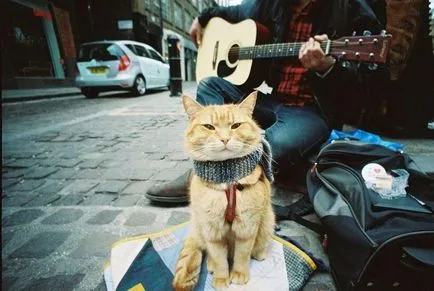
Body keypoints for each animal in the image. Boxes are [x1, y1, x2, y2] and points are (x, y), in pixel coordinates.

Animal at [173, 92, 274, 291]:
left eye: (236, 126)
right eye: (209, 127)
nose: (225, 139)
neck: (227, 180)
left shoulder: (247, 227)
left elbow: (242, 255)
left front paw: (239, 274)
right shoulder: (212, 230)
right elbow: (219, 258)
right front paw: (221, 278)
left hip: (268, 221)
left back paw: (259, 253)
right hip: (200, 227)